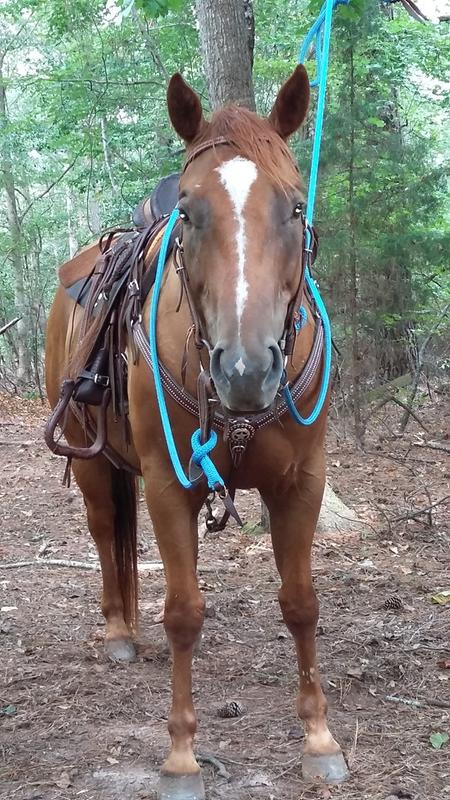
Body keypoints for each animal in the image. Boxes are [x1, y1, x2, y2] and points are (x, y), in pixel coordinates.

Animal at [45, 65, 349, 799]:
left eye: (295, 208)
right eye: (188, 212)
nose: (246, 369)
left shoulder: (303, 482)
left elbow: (301, 602)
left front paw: (319, 739)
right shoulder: (166, 485)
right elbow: (183, 611)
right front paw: (182, 757)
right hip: (95, 462)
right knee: (106, 532)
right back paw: (119, 632)